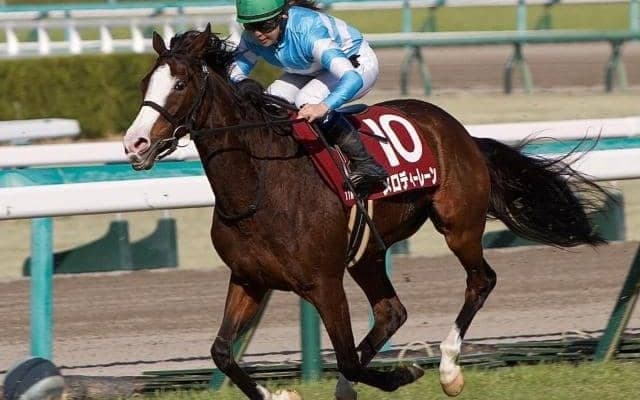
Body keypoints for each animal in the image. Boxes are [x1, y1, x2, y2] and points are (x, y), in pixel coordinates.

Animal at [123, 25, 606, 400]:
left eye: (180, 84)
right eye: (145, 82)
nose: (135, 144)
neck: (258, 186)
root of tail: (461, 132)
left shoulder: (324, 283)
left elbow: (348, 358)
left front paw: (406, 372)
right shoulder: (249, 278)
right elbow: (222, 353)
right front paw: (279, 392)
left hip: (458, 225)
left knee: (480, 281)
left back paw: (448, 368)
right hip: (368, 252)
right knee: (392, 311)